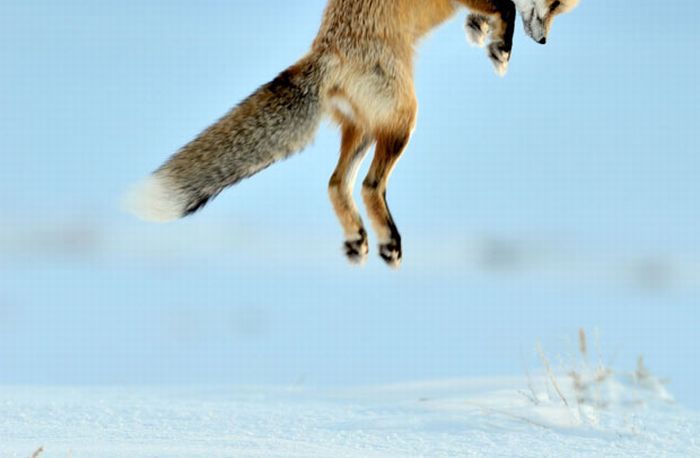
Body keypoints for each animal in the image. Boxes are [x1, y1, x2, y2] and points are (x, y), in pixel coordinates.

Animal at [126, 0, 580, 268]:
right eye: (556, 3)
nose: (543, 41)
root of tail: (326, 52)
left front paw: (482, 33)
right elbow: (504, 7)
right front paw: (500, 46)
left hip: (364, 129)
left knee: (335, 183)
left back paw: (358, 237)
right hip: (404, 118)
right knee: (369, 185)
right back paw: (388, 241)